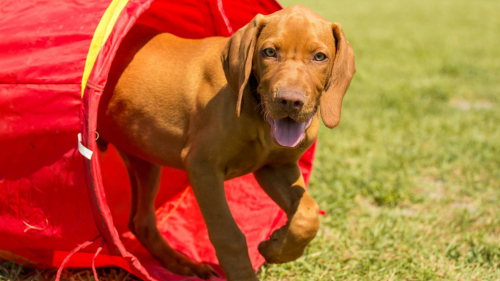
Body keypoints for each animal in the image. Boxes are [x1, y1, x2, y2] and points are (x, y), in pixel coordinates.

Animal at [96, 4, 356, 280]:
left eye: (319, 57)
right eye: (269, 52)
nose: (289, 101)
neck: (258, 116)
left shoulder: (275, 168)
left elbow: (307, 214)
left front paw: (275, 247)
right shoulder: (203, 167)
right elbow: (229, 235)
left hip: (143, 157)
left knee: (141, 221)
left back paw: (182, 264)